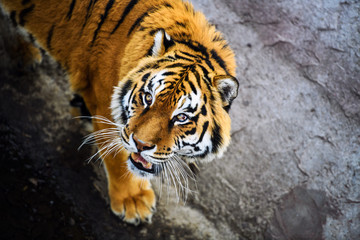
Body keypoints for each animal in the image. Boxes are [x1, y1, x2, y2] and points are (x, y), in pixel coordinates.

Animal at [2, 0, 239, 225]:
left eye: (181, 117)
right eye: (148, 98)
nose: (141, 145)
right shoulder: (105, 110)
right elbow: (117, 157)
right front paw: (133, 202)